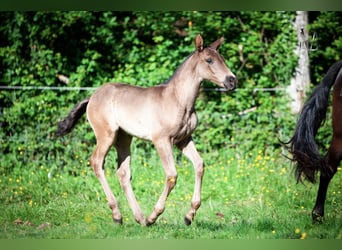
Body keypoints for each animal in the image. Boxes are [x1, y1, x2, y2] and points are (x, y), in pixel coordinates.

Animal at [56, 34, 238, 226]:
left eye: (222, 59)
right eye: (209, 60)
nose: (232, 80)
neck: (179, 100)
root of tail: (92, 97)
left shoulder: (184, 139)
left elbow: (199, 165)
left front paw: (189, 216)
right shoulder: (162, 140)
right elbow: (172, 175)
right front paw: (154, 216)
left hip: (124, 137)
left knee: (123, 172)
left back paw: (139, 217)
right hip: (106, 135)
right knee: (97, 162)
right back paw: (119, 215)